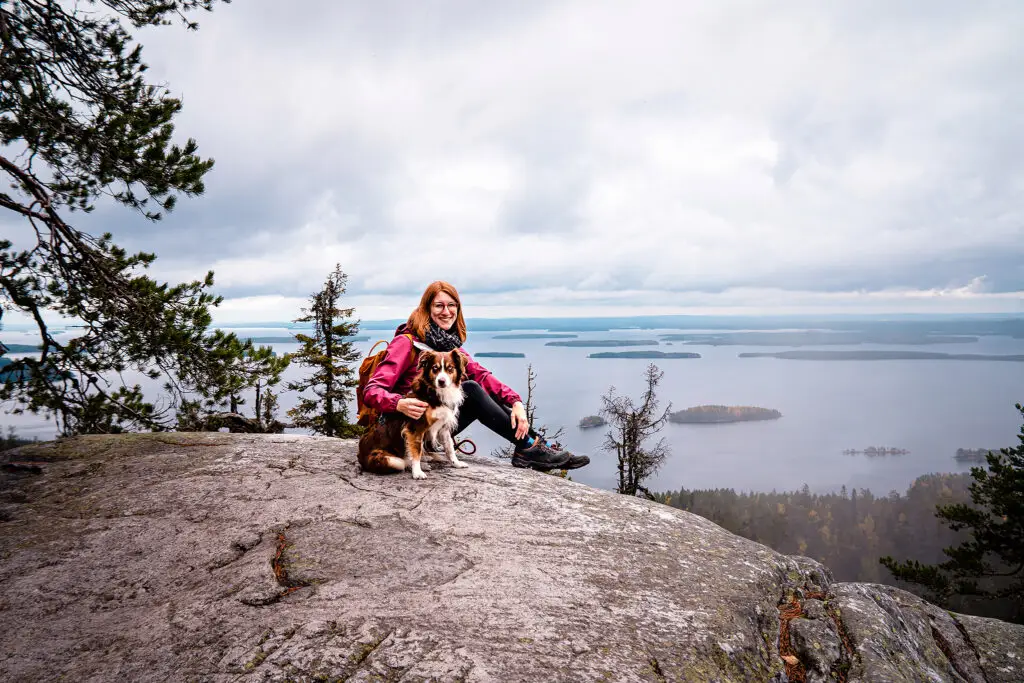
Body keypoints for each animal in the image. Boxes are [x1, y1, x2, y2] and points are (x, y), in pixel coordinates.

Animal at [356, 350, 468, 479]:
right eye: (435, 368)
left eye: (450, 368)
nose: (441, 381)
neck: (435, 394)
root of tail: (360, 457)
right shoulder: (416, 427)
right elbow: (416, 452)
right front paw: (417, 472)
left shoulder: (444, 427)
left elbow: (449, 447)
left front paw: (457, 463)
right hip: (388, 460)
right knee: (403, 461)